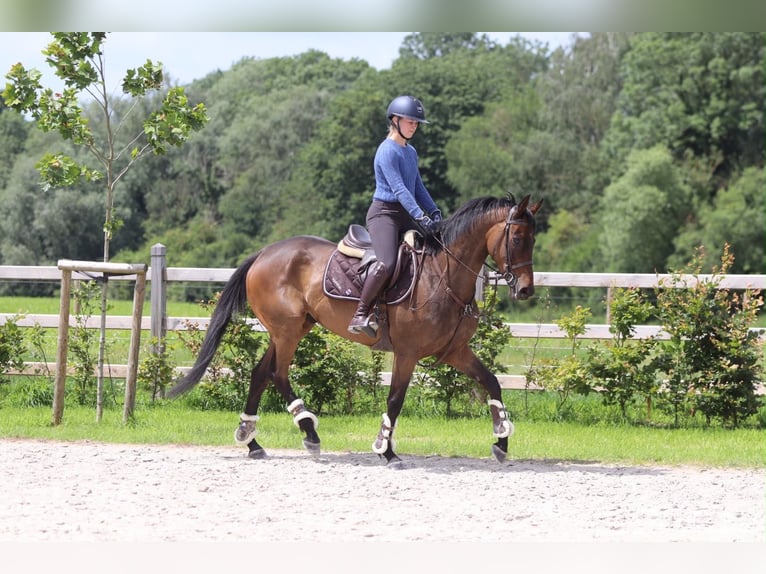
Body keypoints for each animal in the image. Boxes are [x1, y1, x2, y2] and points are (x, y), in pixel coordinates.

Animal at [167, 194, 542, 466]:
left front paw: (501, 440)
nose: (525, 290)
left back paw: (253, 441)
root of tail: (265, 253)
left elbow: (491, 382)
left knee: (261, 373)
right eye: (517, 237)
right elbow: (395, 399)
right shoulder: (407, 353)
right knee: (278, 374)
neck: (443, 275)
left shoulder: (454, 351)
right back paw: (308, 432)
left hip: (291, 329)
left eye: (534, 239)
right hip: (287, 331)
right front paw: (385, 449)